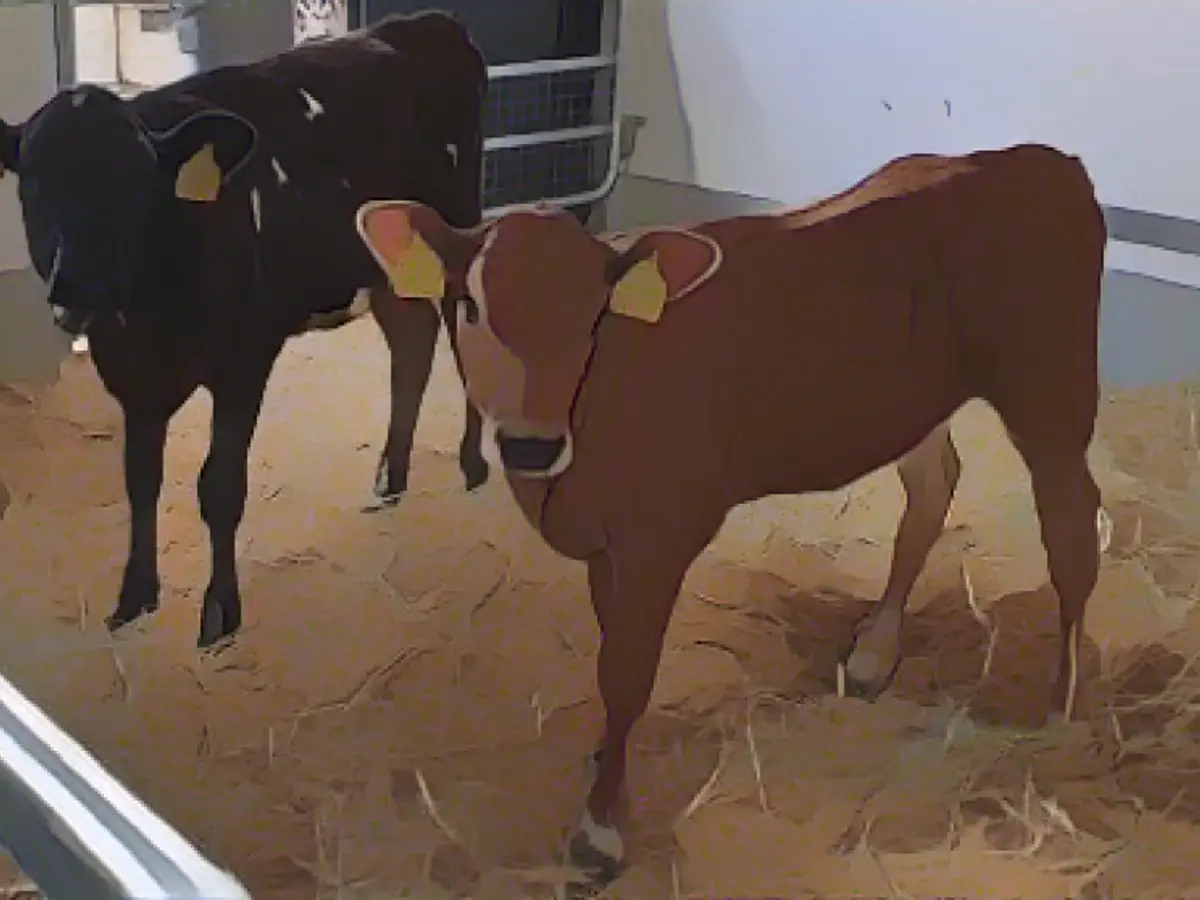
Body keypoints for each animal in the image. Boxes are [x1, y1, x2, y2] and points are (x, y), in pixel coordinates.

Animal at [0, 10, 491, 650]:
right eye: (33, 184)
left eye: (134, 184)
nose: (79, 283)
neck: (147, 314)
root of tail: (423, 23)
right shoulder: (132, 377)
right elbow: (141, 481)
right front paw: (134, 599)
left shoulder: (243, 361)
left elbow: (219, 487)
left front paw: (219, 612)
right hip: (383, 267)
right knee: (412, 346)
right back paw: (391, 479)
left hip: (455, 227)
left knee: (463, 333)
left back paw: (473, 465)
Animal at [355, 143, 1109, 887]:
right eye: (468, 305)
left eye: (596, 316)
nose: (530, 442)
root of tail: (1042, 159)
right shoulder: (608, 541)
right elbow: (607, 652)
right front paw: (604, 762)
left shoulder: (661, 534)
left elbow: (626, 675)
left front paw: (601, 831)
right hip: (916, 400)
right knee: (933, 487)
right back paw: (873, 655)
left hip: (1052, 389)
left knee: (1073, 528)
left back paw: (1060, 711)